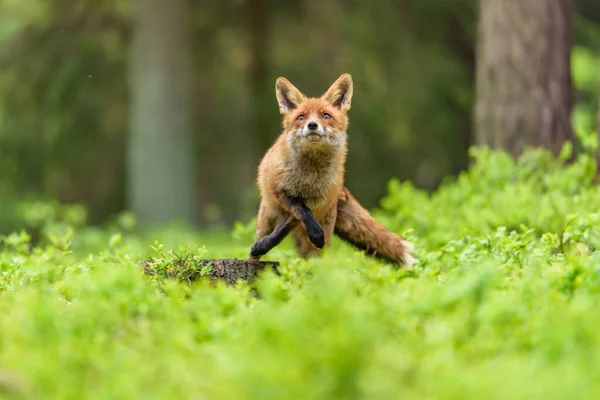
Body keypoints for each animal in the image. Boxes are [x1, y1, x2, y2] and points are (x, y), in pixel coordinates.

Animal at [251, 73, 414, 268]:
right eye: (301, 117)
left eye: (326, 115)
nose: (312, 125)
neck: (309, 175)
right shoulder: (281, 191)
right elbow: (300, 211)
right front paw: (312, 232)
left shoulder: (318, 201)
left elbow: (298, 218)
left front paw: (314, 234)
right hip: (265, 219)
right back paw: (257, 252)